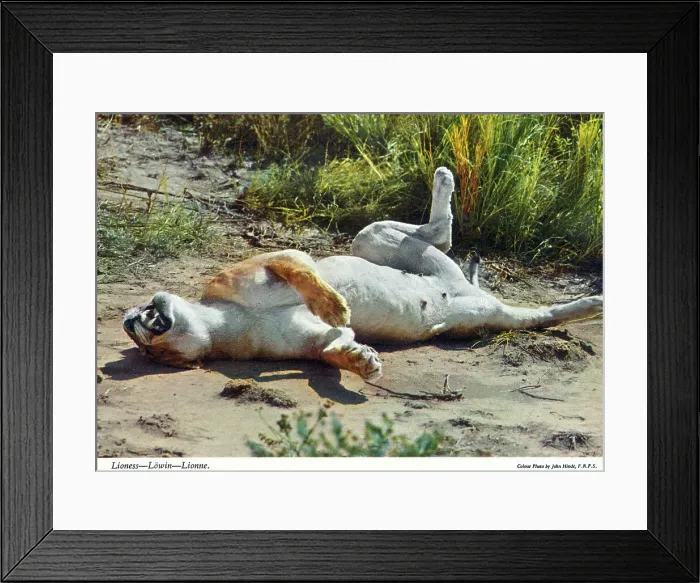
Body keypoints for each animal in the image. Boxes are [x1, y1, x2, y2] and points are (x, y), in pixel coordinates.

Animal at [123, 168, 602, 381]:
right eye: (153, 354)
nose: (131, 323)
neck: (223, 323)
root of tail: (461, 288)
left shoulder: (273, 258)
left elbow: (299, 272)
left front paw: (335, 305)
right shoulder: (307, 342)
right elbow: (332, 347)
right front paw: (361, 361)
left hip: (369, 239)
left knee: (439, 233)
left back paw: (444, 177)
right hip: (486, 320)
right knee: (541, 313)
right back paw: (593, 305)